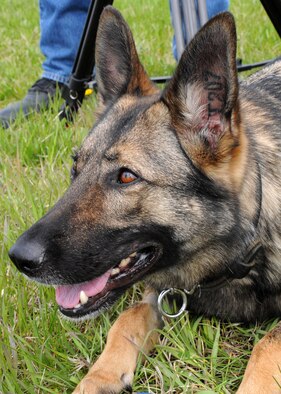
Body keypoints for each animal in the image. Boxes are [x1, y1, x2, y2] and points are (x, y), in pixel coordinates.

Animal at [7, 6, 280, 394]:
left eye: (126, 176)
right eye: (76, 167)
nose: (19, 259)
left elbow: (268, 344)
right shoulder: (161, 293)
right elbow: (128, 316)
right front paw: (96, 378)